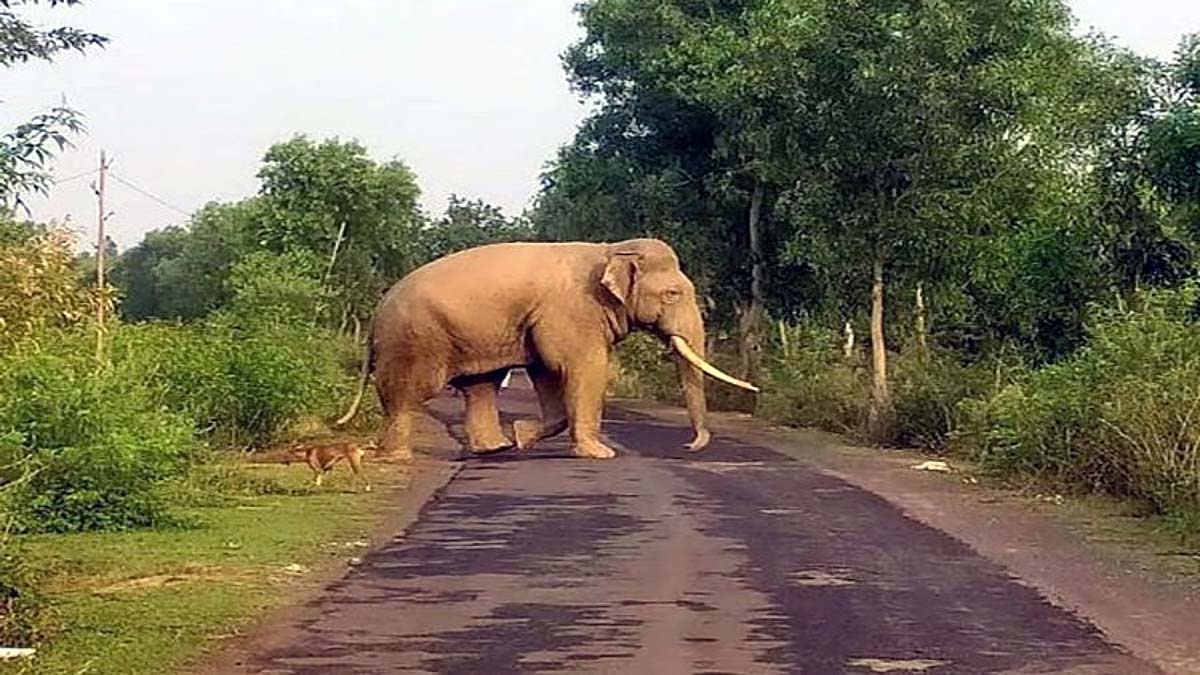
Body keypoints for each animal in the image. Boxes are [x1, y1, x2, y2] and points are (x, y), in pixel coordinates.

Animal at [335, 238, 758, 460]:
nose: (690, 445)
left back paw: (496, 448)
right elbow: (583, 368)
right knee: (408, 393)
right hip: (414, 339)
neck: (611, 250)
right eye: (672, 294)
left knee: (481, 385)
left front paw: (523, 436)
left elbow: (547, 372)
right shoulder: (574, 311)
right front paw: (600, 454)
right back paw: (396, 457)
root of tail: (376, 313)